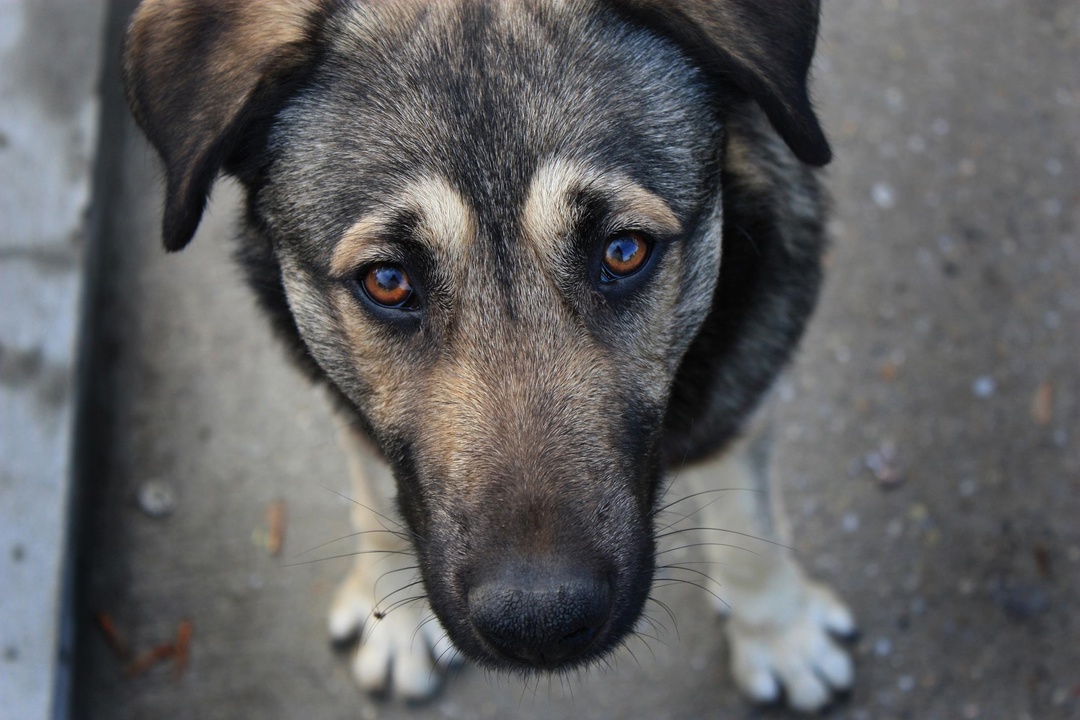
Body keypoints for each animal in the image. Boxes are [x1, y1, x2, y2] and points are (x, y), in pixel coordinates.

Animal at [122, 0, 855, 708]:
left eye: (624, 251)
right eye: (387, 281)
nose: (542, 624)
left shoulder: (744, 374)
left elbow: (750, 515)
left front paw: (780, 632)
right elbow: (376, 491)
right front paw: (394, 613)